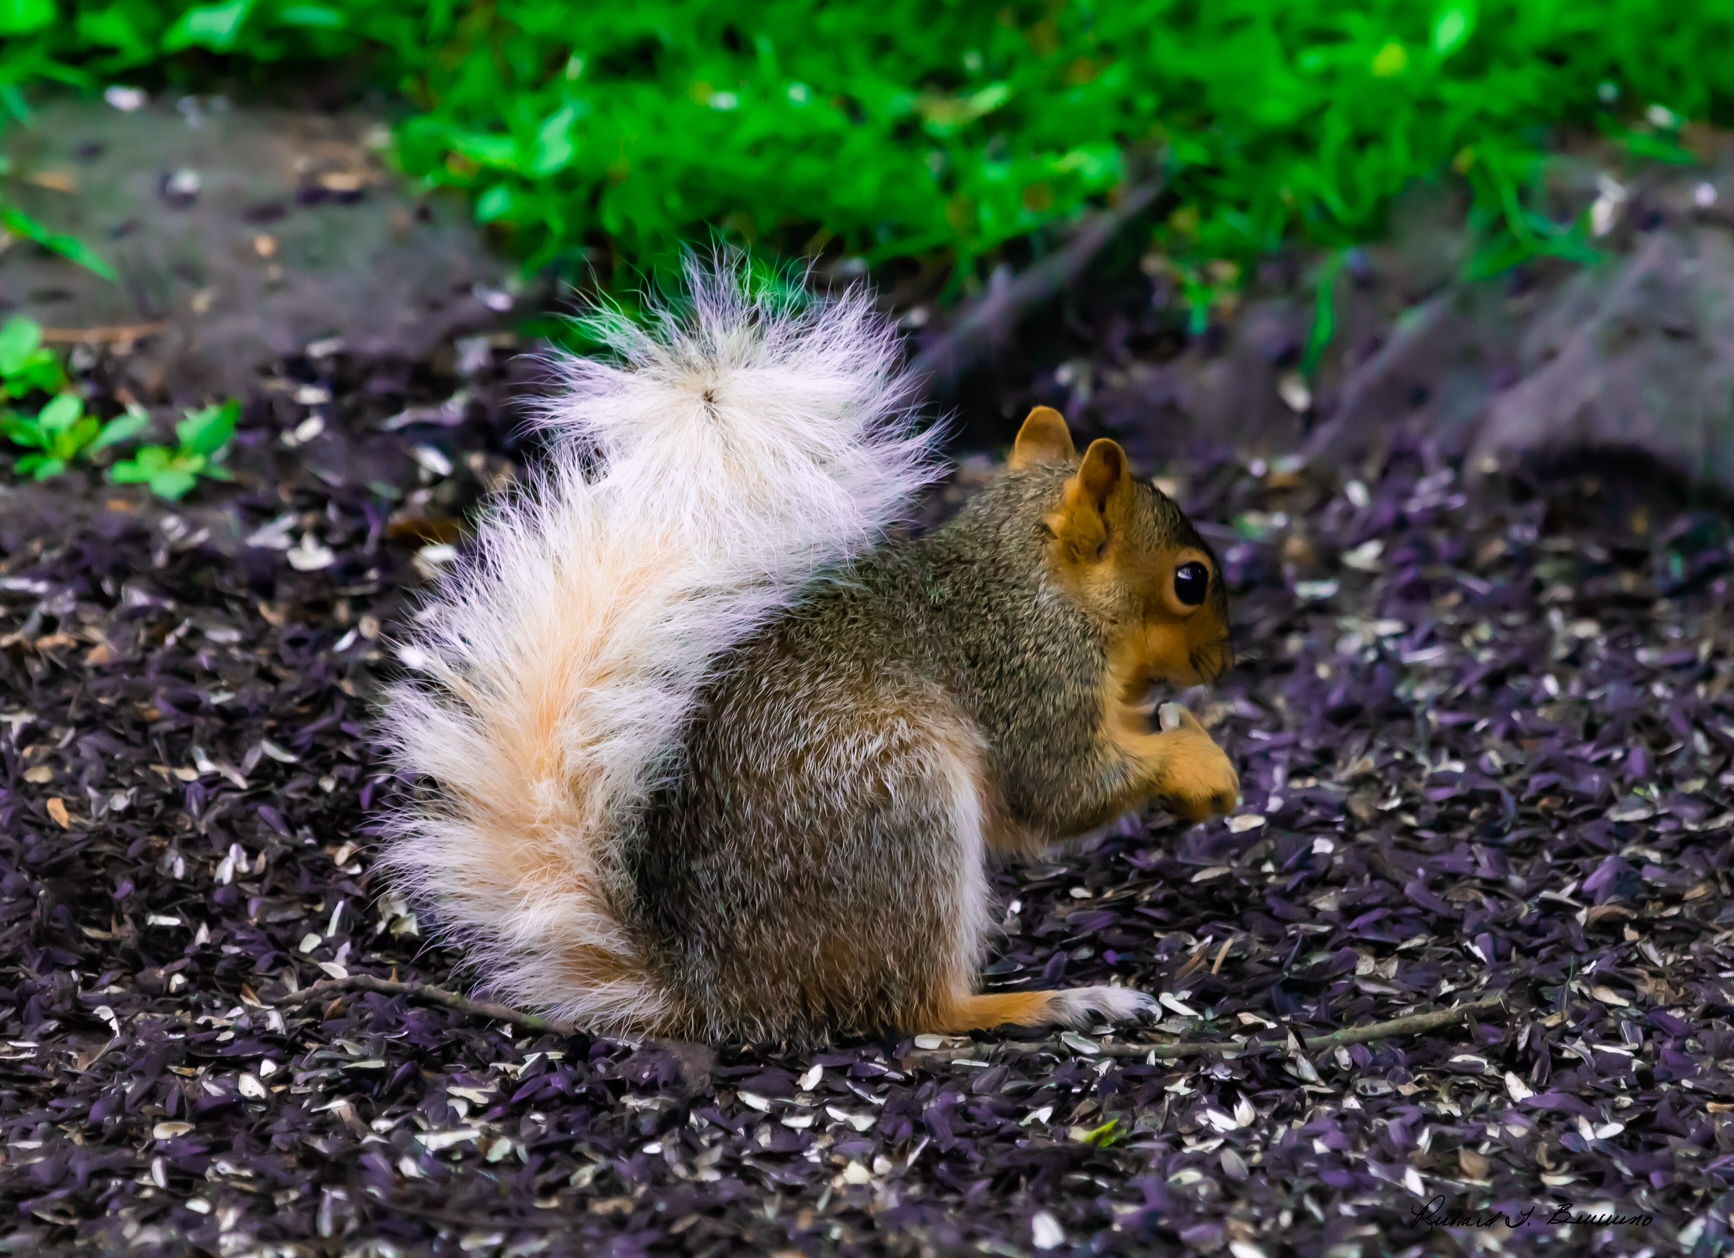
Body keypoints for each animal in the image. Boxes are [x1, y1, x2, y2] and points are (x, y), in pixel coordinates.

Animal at [383, 255, 1248, 1041]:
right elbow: (1059, 790)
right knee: (915, 1008)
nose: (1224, 663)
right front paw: (1196, 762)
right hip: (899, 802)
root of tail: (722, 992)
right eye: (1191, 580)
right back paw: (1050, 1002)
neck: (1029, 581)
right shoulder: (1031, 679)